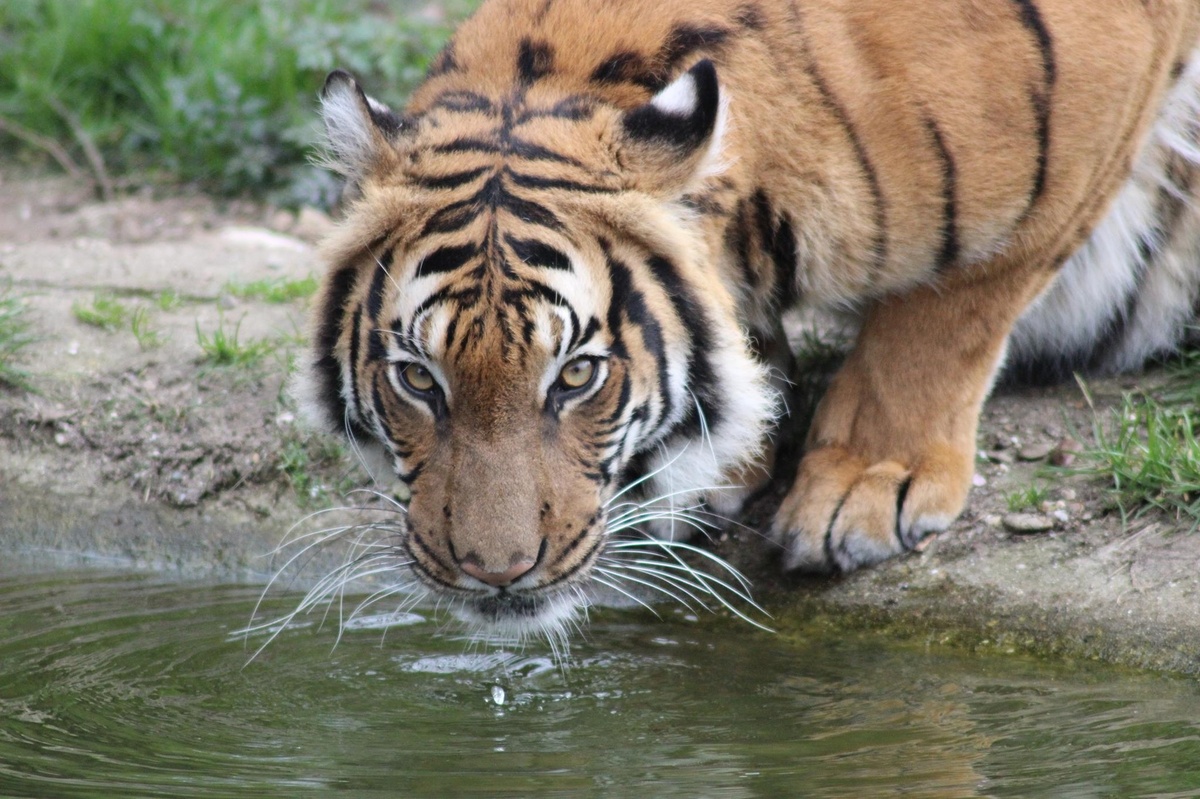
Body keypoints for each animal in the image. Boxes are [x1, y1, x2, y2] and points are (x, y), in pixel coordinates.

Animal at [297, 0, 1200, 636]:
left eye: (577, 375)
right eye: (419, 378)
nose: (496, 572)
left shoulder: (1089, 117)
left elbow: (949, 311)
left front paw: (868, 483)